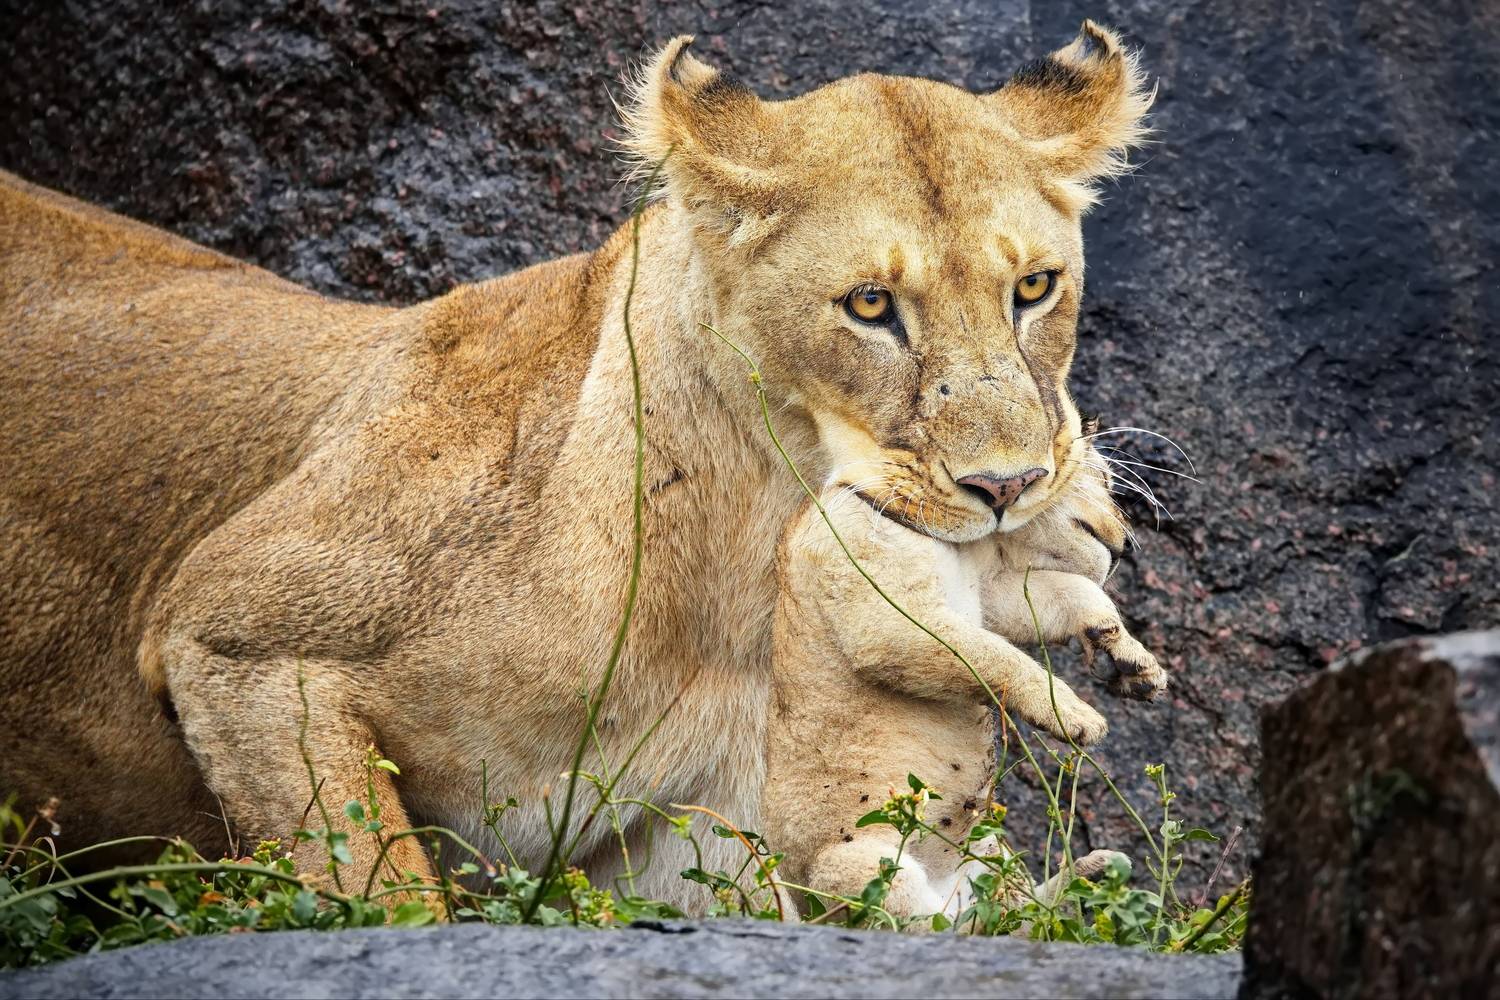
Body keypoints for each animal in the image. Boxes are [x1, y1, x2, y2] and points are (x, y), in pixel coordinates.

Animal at [763, 441, 1162, 926]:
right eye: (1103, 479)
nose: (1123, 548)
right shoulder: (885, 612)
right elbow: (992, 656)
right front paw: (1075, 716)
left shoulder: (990, 593)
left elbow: (1068, 594)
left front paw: (1137, 667)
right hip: (857, 865)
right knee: (939, 924)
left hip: (993, 850)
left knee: (1014, 916)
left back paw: (1092, 879)